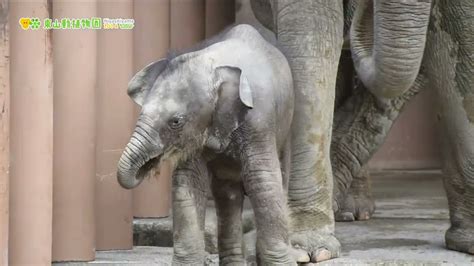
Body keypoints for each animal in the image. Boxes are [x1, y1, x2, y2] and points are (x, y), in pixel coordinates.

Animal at [117, 23, 294, 264]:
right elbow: (188, 182)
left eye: (176, 121)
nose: (149, 166)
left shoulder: (259, 121)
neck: (212, 63)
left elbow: (263, 181)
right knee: (227, 194)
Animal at [252, 0, 474, 262]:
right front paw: (309, 251)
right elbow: (310, 39)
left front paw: (466, 243)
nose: (364, 10)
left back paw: (351, 210)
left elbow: (459, 35)